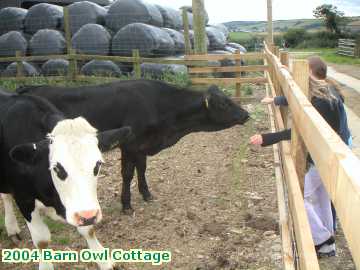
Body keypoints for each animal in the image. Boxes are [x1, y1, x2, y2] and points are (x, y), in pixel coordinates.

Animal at [0, 89, 132, 268]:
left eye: (98, 164)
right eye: (57, 168)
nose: (88, 215)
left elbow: (88, 229)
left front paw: (103, 261)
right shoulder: (24, 198)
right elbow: (42, 240)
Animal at [17, 79, 250, 214]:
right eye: (224, 103)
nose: (246, 114)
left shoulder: (141, 146)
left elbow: (142, 169)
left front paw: (146, 194)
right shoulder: (129, 145)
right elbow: (128, 173)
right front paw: (126, 204)